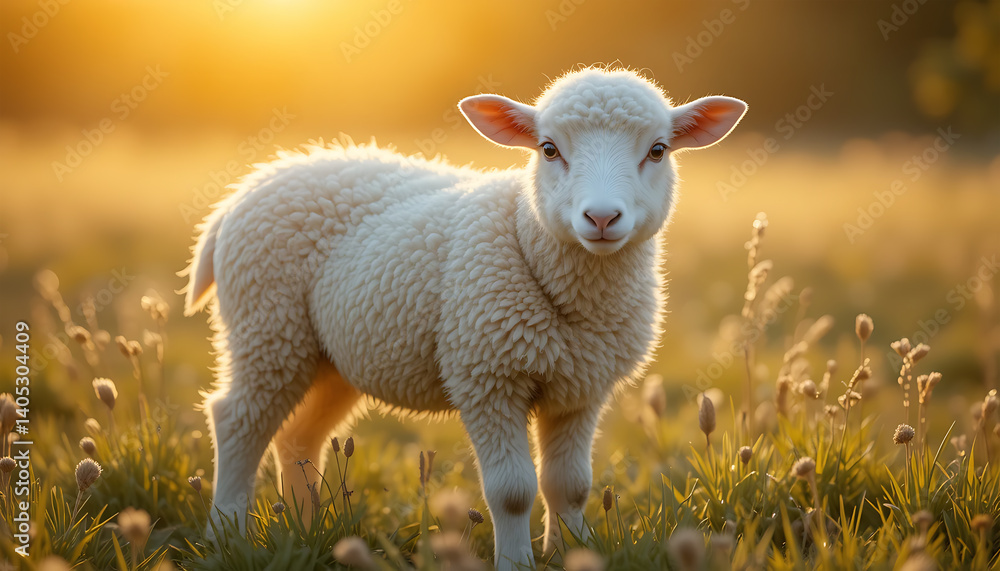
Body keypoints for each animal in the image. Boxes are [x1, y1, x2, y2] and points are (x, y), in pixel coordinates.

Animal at [182, 66, 746, 569]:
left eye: (658, 150)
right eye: (548, 149)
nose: (602, 218)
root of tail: (245, 191)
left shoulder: (581, 388)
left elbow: (569, 486)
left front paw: (571, 552)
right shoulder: (487, 373)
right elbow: (513, 490)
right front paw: (516, 563)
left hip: (330, 355)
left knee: (299, 436)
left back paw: (305, 527)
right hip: (266, 324)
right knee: (237, 420)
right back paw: (226, 535)